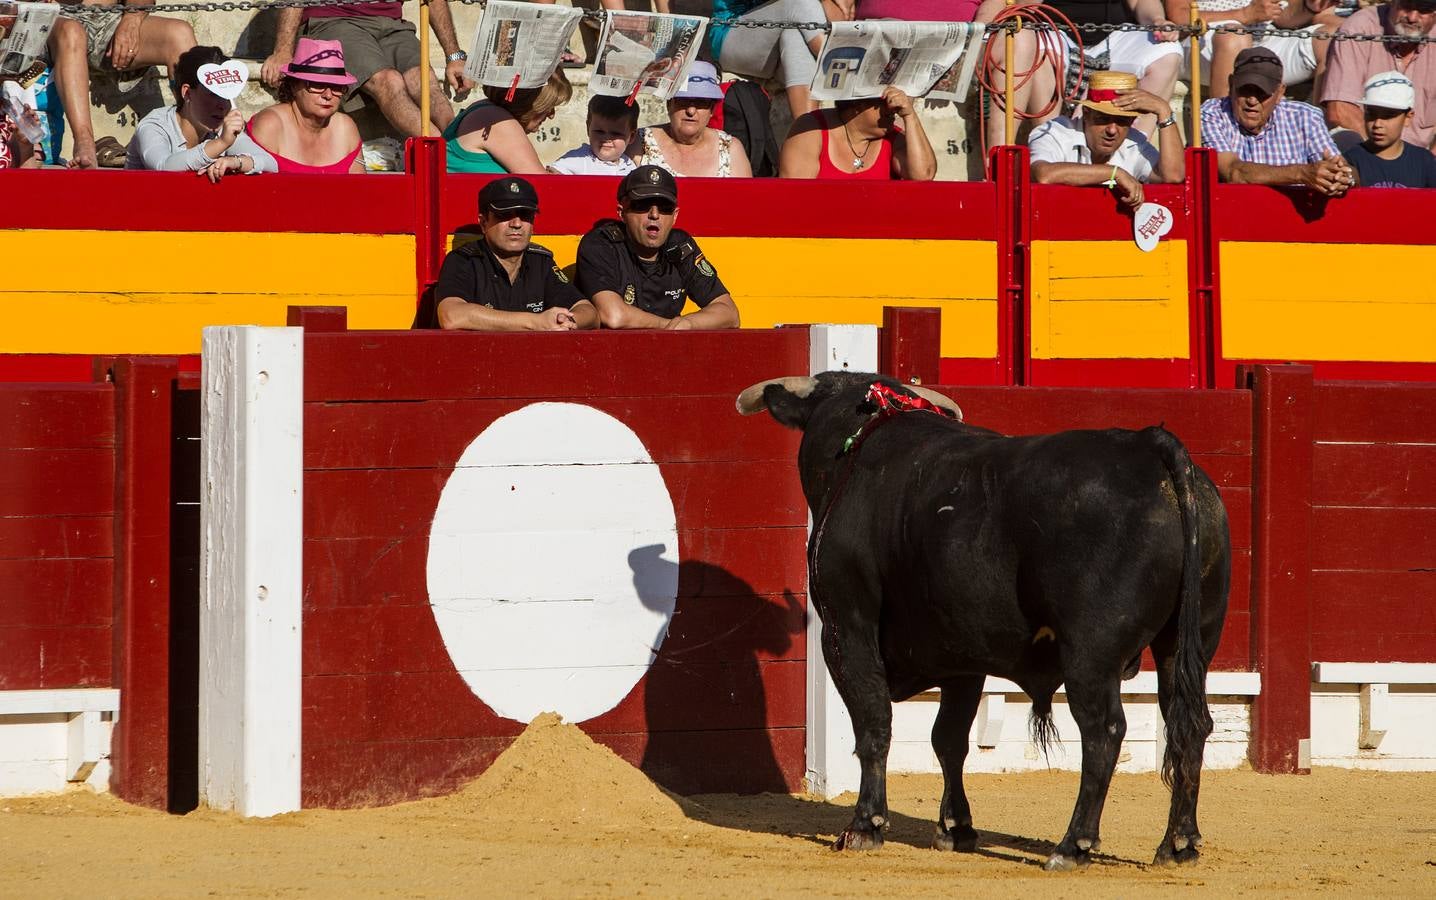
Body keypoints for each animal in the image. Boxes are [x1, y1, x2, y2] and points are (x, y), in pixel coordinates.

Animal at [740, 373, 1234, 872]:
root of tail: (1146, 443)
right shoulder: (961, 651)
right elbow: (948, 737)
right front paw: (956, 828)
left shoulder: (847, 626)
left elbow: (874, 724)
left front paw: (865, 825)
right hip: (1189, 642)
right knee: (1189, 724)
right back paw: (1178, 843)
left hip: (1091, 653)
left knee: (1103, 731)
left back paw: (1072, 845)